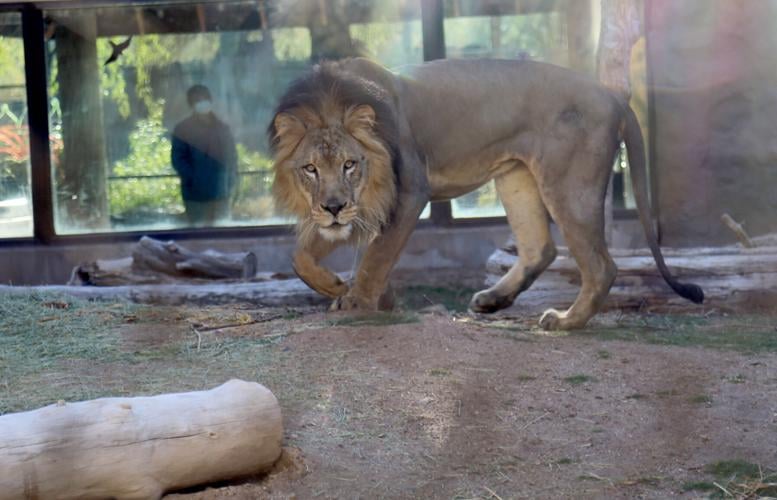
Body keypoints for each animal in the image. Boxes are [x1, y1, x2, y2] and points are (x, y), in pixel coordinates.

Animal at [268, 57, 703, 330]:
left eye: (349, 164)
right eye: (310, 169)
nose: (334, 207)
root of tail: (613, 95)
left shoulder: (409, 192)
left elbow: (377, 256)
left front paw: (360, 301)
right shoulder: (349, 211)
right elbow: (300, 258)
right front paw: (341, 287)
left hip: (568, 184)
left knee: (600, 265)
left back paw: (565, 322)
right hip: (516, 176)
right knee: (540, 248)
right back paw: (493, 300)